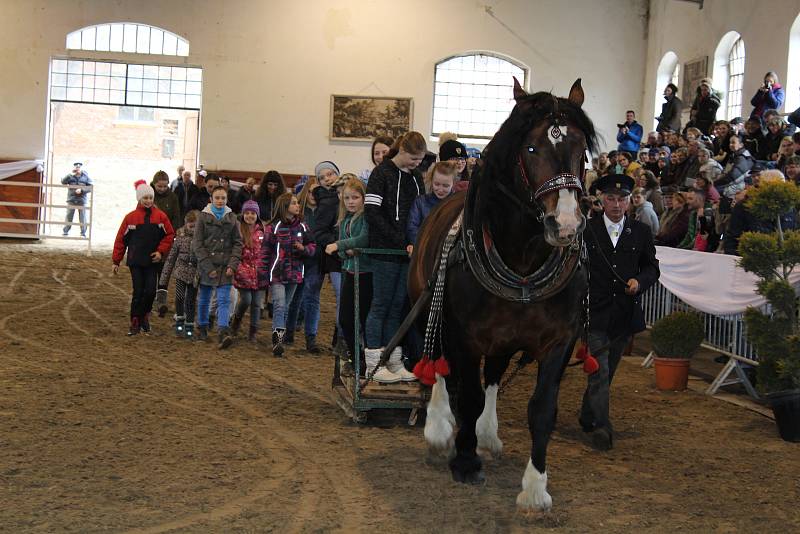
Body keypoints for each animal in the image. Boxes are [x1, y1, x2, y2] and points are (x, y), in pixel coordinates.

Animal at [410, 78, 596, 510]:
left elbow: (542, 410)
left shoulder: (559, 341)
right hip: (432, 309)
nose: (565, 224)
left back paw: (487, 434)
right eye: (531, 149)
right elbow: (468, 395)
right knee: (438, 363)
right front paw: (464, 461)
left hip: (502, 340)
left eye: (582, 149)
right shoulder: (465, 336)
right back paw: (439, 429)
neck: (523, 266)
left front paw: (536, 488)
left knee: (493, 376)